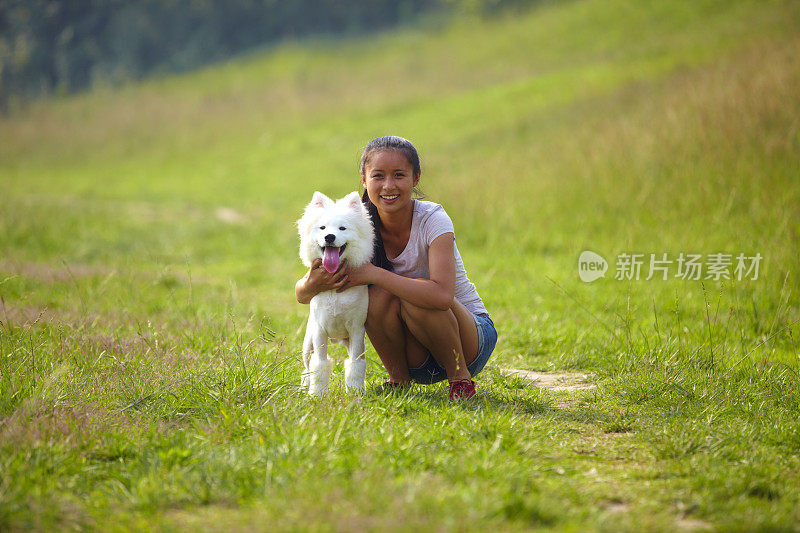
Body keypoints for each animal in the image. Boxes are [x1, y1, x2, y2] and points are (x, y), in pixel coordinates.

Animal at [298, 191, 376, 394]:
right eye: (322, 228)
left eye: (342, 228)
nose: (330, 237)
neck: (334, 292)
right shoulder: (319, 331)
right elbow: (319, 364)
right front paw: (316, 394)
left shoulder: (356, 330)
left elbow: (356, 364)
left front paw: (355, 392)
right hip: (307, 344)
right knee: (306, 368)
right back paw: (304, 388)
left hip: (348, 341)